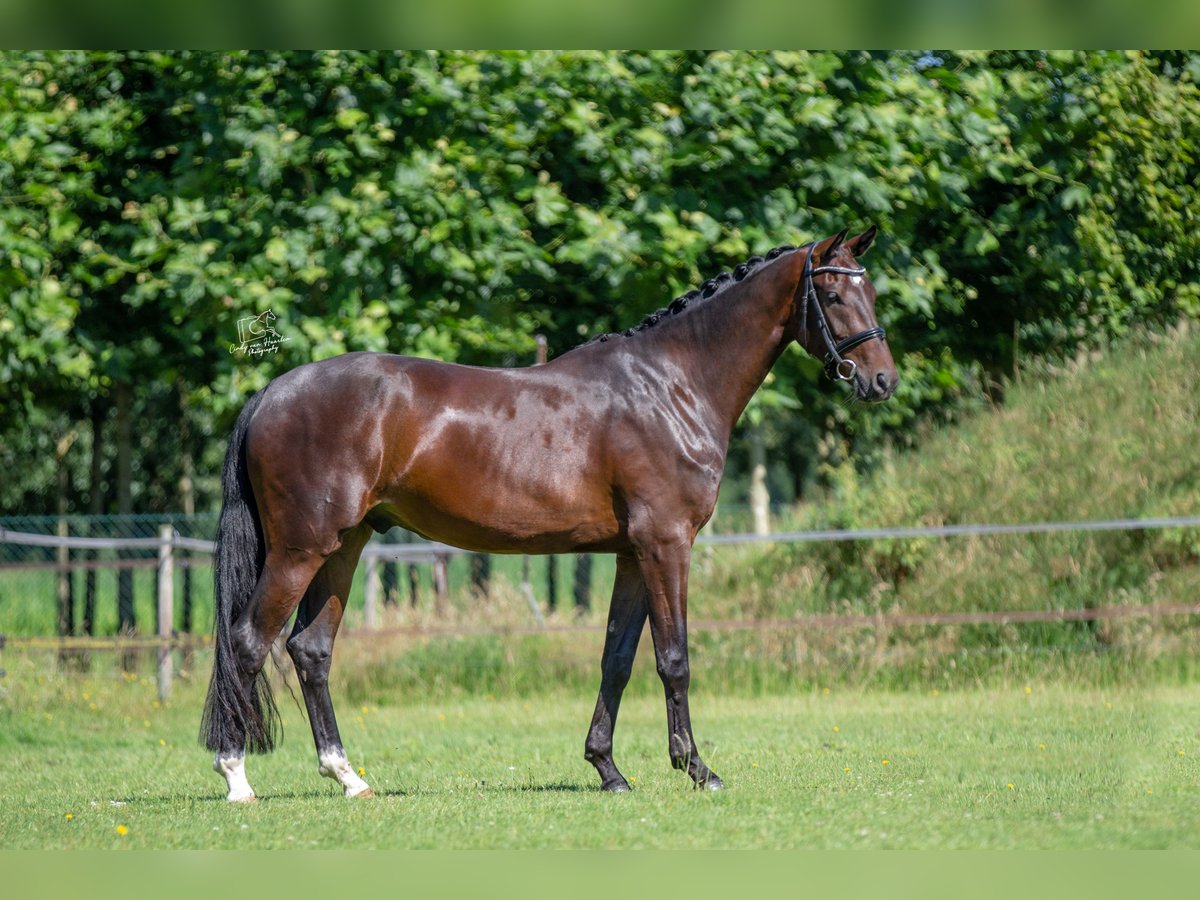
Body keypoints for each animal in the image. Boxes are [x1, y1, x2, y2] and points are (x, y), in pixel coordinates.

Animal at [201, 226, 897, 801]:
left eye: (870, 292)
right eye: (834, 294)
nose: (882, 381)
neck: (671, 386)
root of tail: (271, 393)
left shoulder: (631, 555)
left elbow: (617, 659)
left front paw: (608, 770)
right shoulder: (667, 545)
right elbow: (674, 658)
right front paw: (697, 769)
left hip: (343, 548)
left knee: (310, 651)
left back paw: (348, 777)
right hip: (300, 550)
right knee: (248, 642)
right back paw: (236, 779)